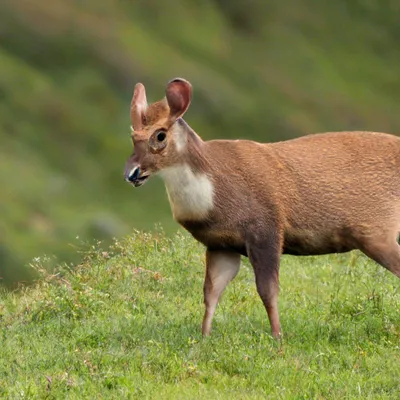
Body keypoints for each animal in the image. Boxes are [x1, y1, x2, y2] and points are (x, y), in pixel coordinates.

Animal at [123, 77, 400, 338]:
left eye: (160, 135)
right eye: (132, 136)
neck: (213, 194)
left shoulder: (266, 229)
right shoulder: (220, 244)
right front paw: (203, 337)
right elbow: (211, 293)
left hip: (376, 231)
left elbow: (267, 291)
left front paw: (278, 339)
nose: (131, 174)